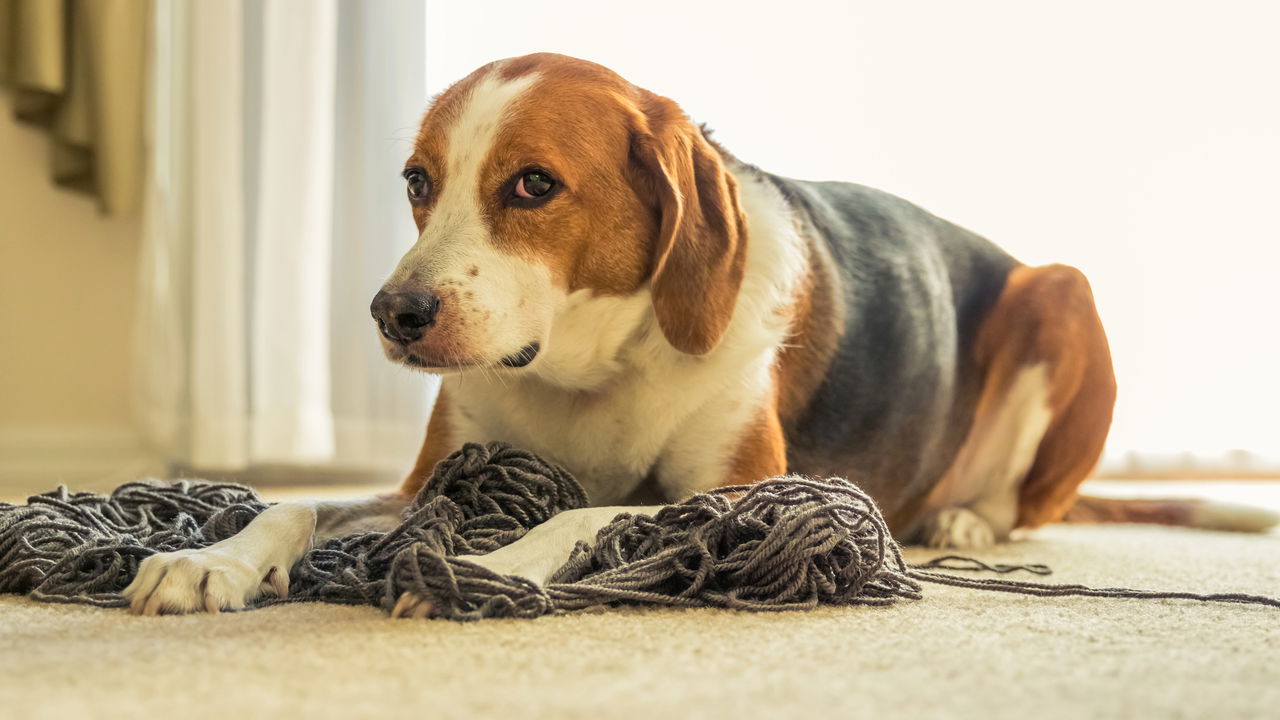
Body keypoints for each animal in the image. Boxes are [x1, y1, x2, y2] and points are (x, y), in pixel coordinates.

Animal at [122, 50, 1249, 614]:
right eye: (416, 182)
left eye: (533, 185)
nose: (394, 314)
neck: (589, 367)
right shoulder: (423, 481)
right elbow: (294, 504)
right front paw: (214, 558)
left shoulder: (759, 488)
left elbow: (594, 514)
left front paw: (494, 565)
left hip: (1059, 292)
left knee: (1017, 504)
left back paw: (962, 521)